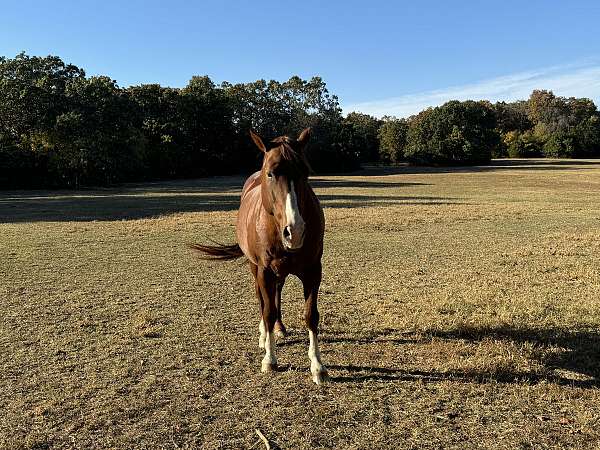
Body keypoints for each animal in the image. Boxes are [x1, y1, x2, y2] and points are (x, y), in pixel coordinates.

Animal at [191, 128, 326, 384]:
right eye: (271, 173)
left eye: (305, 172)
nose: (295, 231)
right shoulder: (264, 271)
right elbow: (268, 310)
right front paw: (270, 359)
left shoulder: (313, 270)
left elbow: (310, 315)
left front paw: (317, 365)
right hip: (256, 269)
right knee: (263, 300)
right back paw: (265, 336)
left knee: (277, 294)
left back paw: (280, 329)